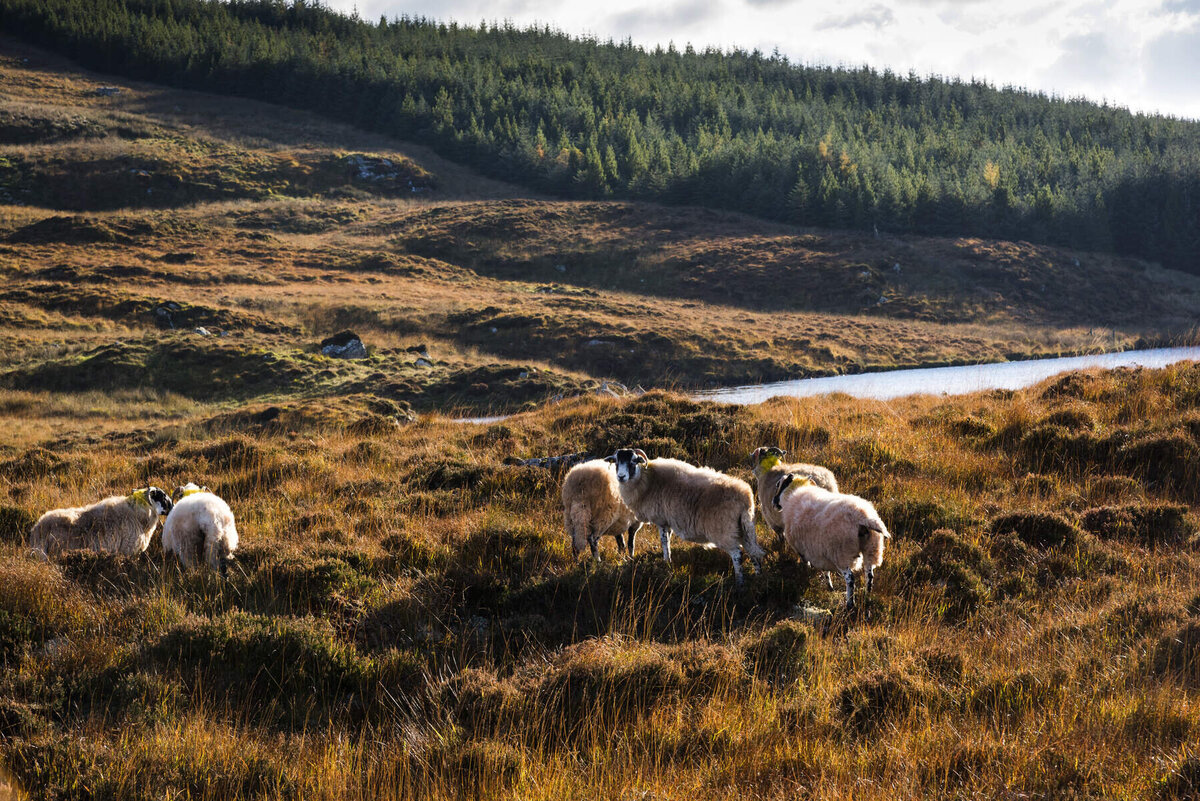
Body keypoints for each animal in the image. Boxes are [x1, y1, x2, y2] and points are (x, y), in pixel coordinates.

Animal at [609, 448, 758, 585]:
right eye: (616, 462)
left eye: (633, 461)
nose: (621, 477)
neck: (647, 480)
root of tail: (745, 496)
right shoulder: (667, 521)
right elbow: (668, 542)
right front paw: (668, 561)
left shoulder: (661, 520)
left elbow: (664, 542)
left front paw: (666, 562)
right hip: (745, 528)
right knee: (754, 553)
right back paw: (758, 577)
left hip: (725, 531)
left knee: (737, 554)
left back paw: (739, 582)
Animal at [768, 472, 892, 609]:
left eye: (779, 484)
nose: (773, 502)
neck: (794, 493)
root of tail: (864, 517)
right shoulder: (819, 549)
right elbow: (825, 570)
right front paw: (829, 586)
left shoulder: (804, 549)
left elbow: (809, 565)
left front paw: (812, 577)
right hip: (872, 547)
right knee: (869, 576)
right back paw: (867, 598)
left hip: (841, 553)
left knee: (850, 579)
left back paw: (850, 604)